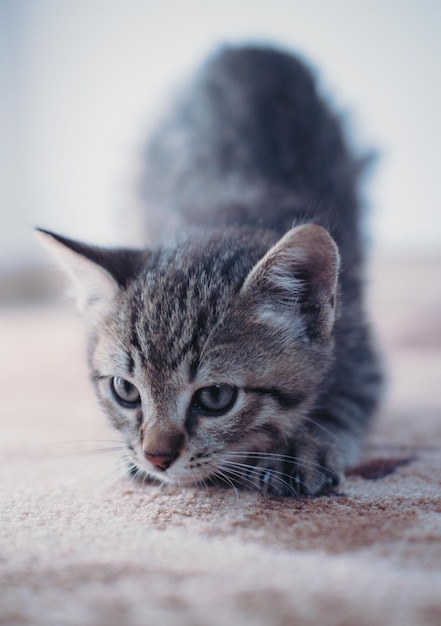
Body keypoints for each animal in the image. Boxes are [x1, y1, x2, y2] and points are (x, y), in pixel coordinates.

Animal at [37, 46, 382, 498]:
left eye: (216, 396)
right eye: (125, 390)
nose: (156, 457)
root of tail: (250, 45)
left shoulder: (360, 347)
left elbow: (345, 400)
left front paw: (304, 443)